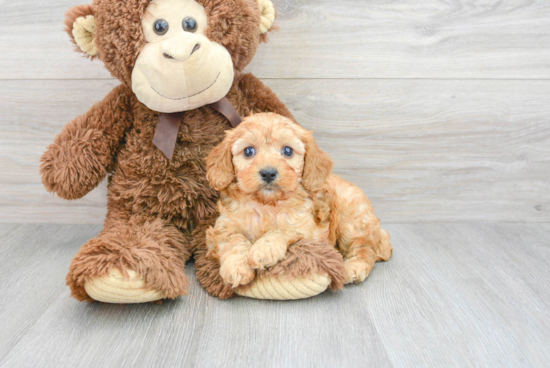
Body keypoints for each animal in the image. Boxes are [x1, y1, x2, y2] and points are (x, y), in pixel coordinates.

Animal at [206, 112, 392, 288]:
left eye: (287, 151)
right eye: (248, 151)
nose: (268, 173)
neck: (267, 204)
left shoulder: (307, 230)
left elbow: (281, 229)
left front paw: (264, 249)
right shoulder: (223, 227)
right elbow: (233, 241)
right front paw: (236, 268)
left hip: (351, 221)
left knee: (364, 249)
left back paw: (354, 268)